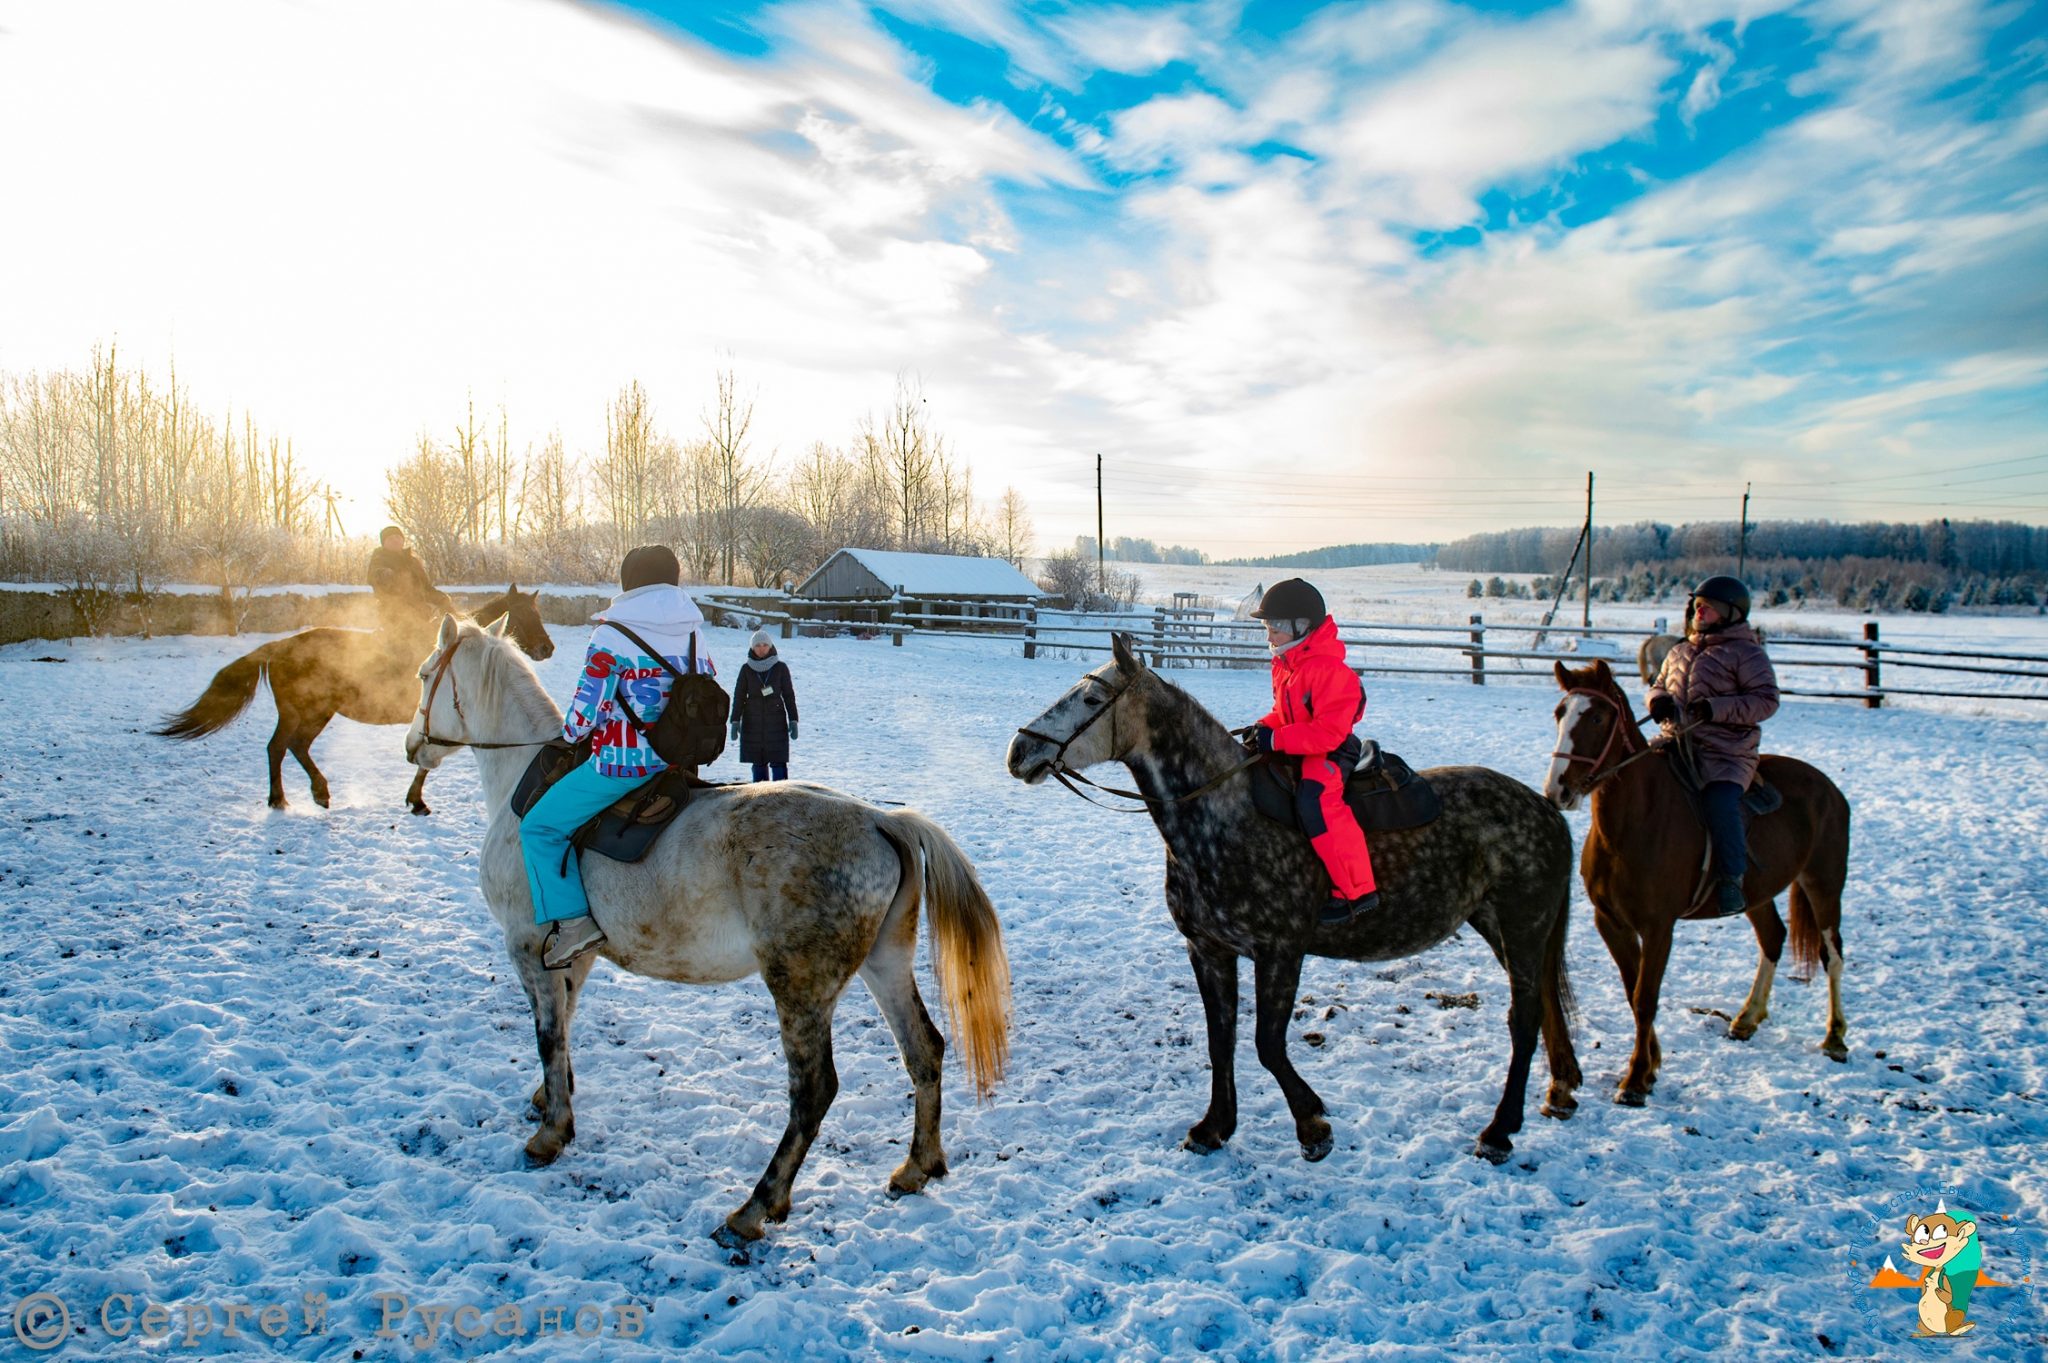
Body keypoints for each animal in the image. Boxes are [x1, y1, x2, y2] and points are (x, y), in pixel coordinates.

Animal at [155, 585, 552, 806]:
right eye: (527, 614)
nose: (548, 648)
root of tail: (280, 646)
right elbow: (424, 758)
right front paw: (416, 799)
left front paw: (414, 797)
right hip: (306, 710)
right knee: (280, 746)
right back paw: (285, 798)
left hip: (315, 712)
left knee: (293, 746)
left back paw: (313, 792)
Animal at [1540, 658, 1859, 1105]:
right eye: (1559, 714)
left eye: (1598, 717)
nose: (1558, 790)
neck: (1636, 822)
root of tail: (1829, 789)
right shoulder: (1611, 922)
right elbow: (1633, 991)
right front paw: (1651, 1066)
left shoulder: (1659, 927)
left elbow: (1645, 998)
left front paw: (1635, 1080)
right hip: (1757, 895)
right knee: (1773, 938)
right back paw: (1747, 1019)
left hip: (1825, 885)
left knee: (1832, 955)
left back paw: (1835, 1038)